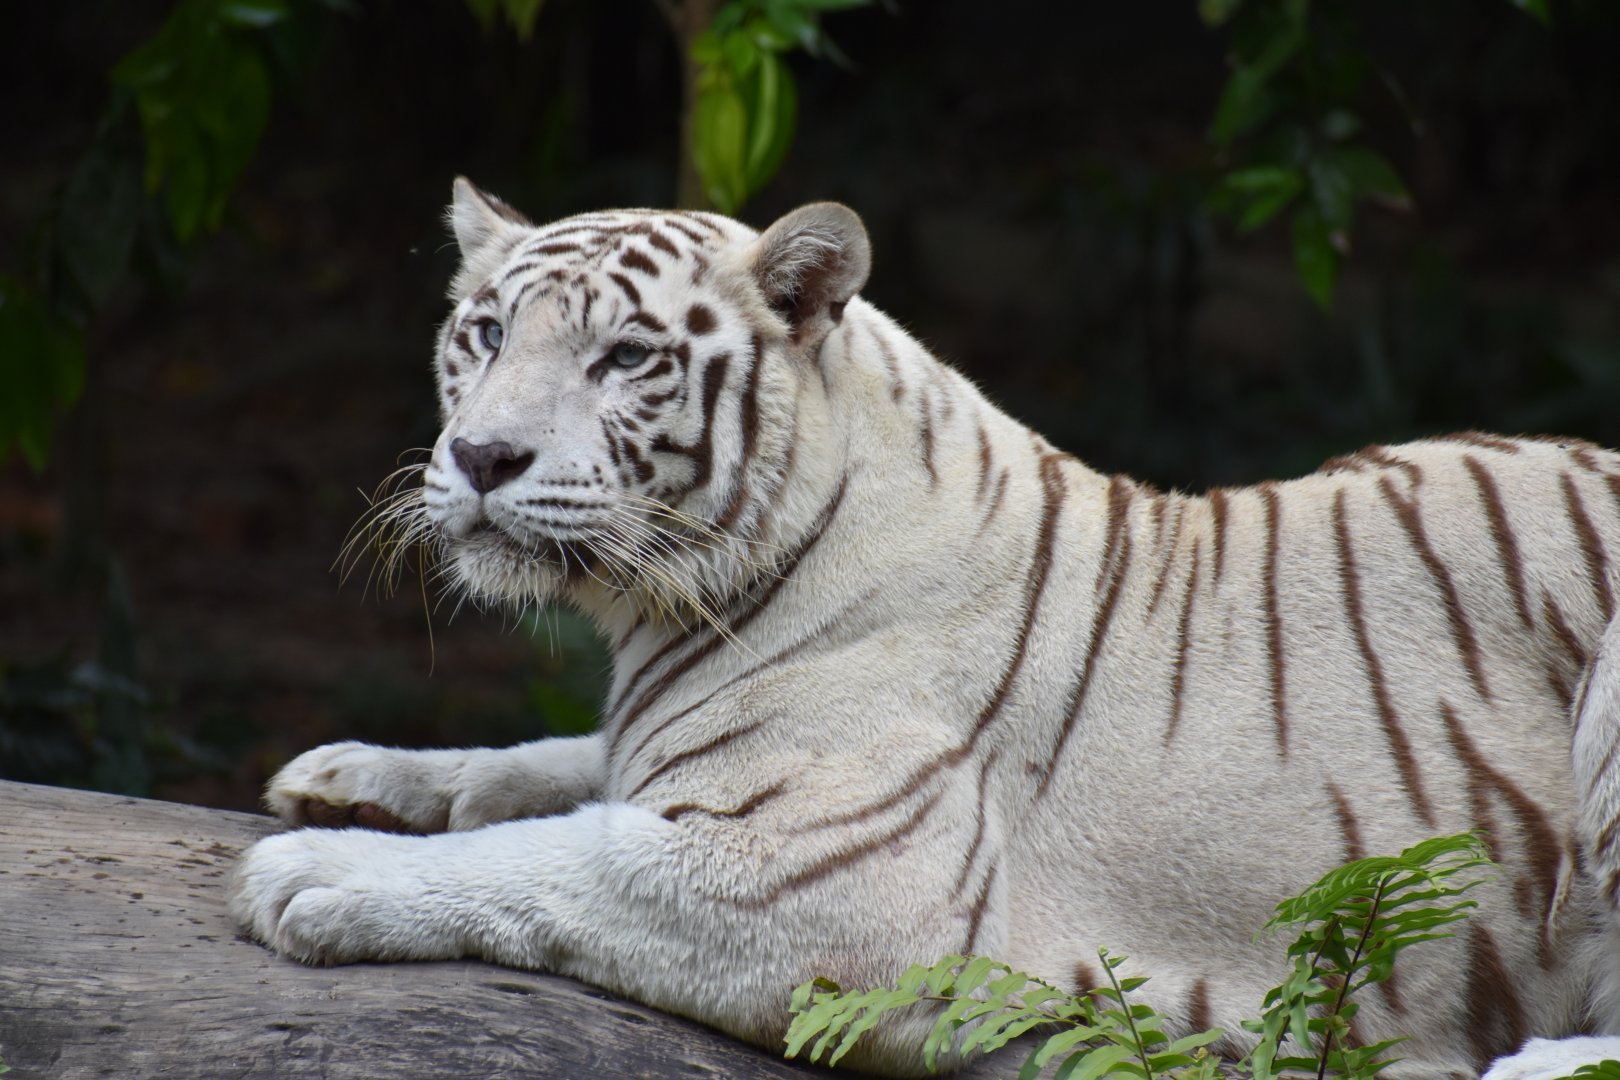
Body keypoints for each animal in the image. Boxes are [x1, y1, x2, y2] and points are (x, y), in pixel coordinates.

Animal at [229, 177, 1620, 1079]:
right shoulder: (660, 752)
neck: (664, 608)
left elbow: (556, 858)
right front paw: (348, 778)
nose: (479, 457)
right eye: (483, 333)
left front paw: (315, 872)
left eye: (625, 357)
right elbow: (544, 773)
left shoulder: (841, 884)